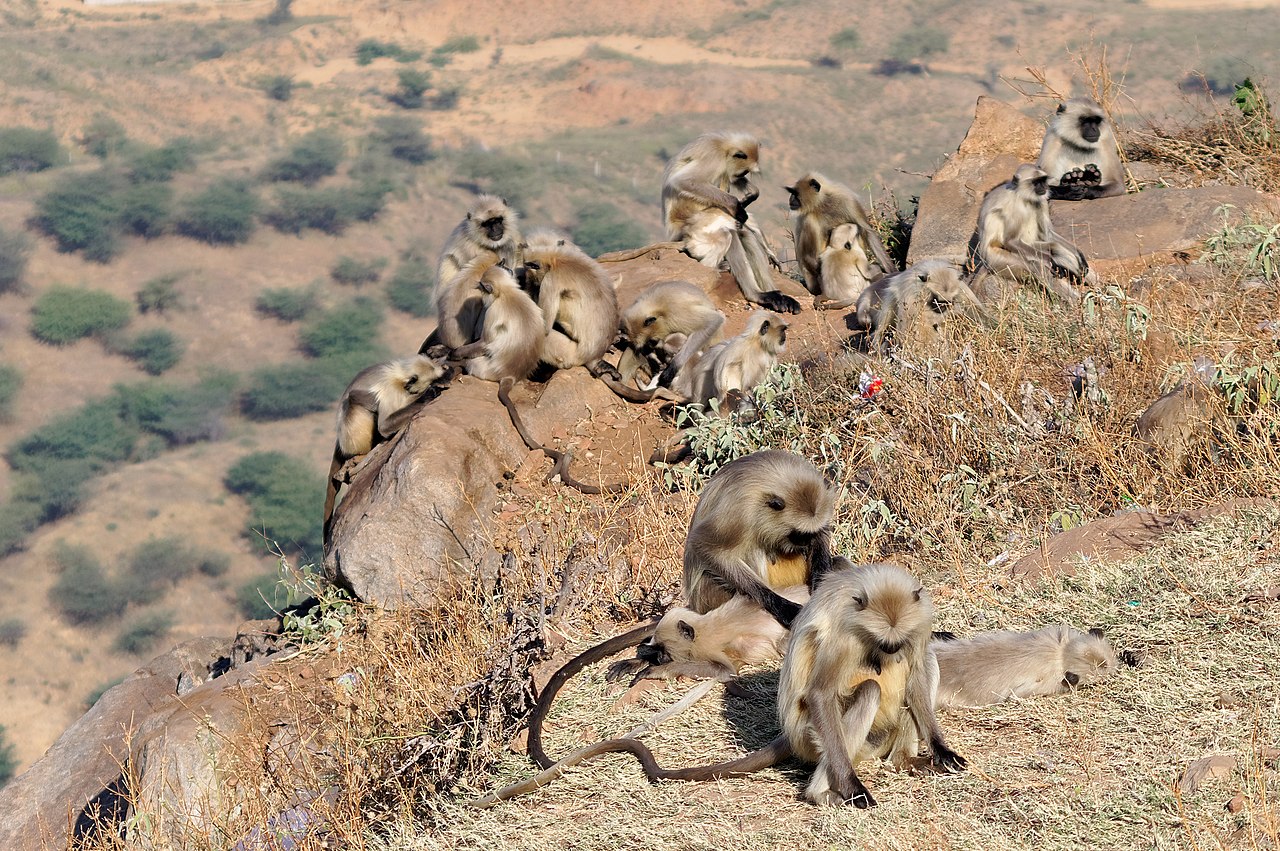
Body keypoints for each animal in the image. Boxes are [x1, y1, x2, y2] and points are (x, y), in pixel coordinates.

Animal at [322, 353, 448, 540]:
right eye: (430, 381)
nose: (415, 392)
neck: (398, 373)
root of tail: (340, 439)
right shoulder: (392, 390)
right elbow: (385, 426)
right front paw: (428, 395)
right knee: (357, 401)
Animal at [660, 134, 798, 313]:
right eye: (744, 171)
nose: (739, 177)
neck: (723, 145)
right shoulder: (714, 157)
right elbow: (684, 181)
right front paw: (737, 205)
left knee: (743, 233)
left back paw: (776, 295)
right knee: (730, 233)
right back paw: (757, 295)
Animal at [773, 560, 962, 808]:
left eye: (897, 642)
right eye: (882, 642)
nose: (892, 650)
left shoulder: (920, 620)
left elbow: (916, 674)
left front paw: (941, 748)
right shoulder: (845, 634)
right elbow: (821, 694)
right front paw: (850, 784)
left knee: (926, 661)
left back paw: (904, 760)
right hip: (808, 738)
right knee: (869, 690)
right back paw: (818, 794)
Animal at [972, 163, 1095, 302]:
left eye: (1043, 180)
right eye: (1036, 183)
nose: (1045, 187)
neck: (1022, 195)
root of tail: (985, 261)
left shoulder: (1041, 200)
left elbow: (1048, 234)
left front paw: (1080, 256)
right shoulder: (1017, 207)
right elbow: (1011, 241)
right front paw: (1053, 263)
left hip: (1029, 244)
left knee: (1054, 247)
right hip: (997, 259)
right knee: (1036, 266)